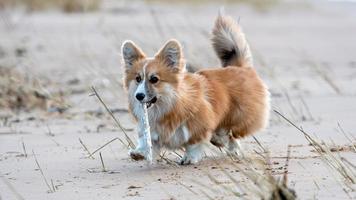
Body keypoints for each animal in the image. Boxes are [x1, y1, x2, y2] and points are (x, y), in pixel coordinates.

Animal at [121, 13, 268, 164]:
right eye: (138, 79)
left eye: (154, 79)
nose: (139, 96)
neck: (167, 107)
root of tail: (241, 68)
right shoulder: (155, 132)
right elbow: (147, 142)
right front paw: (139, 152)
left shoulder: (199, 125)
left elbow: (194, 144)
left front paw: (189, 158)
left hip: (239, 117)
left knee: (232, 134)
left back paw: (230, 146)